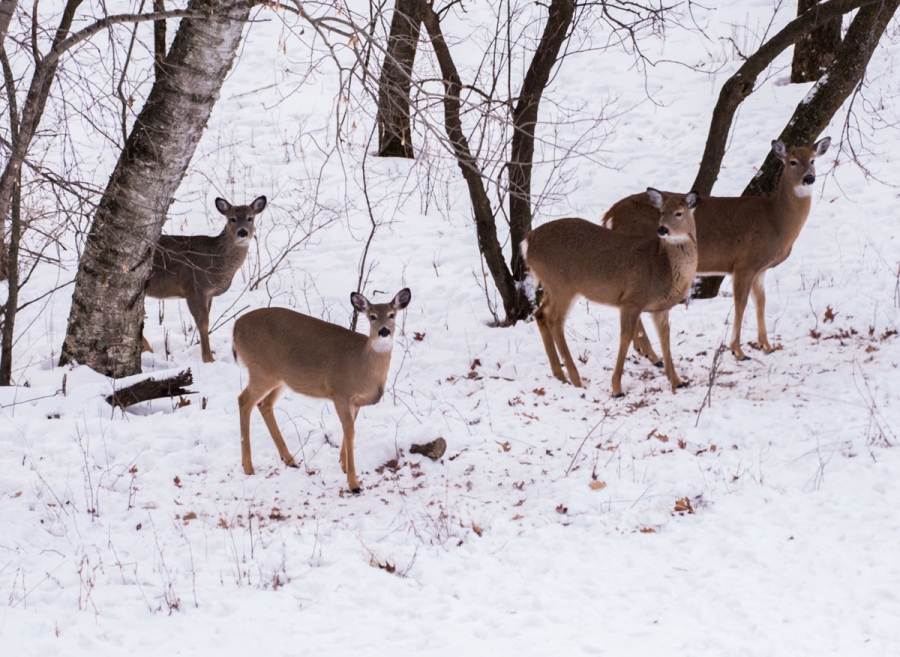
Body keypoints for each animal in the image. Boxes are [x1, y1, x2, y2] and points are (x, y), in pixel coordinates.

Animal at [143, 196, 267, 363]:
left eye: (250, 218)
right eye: (232, 219)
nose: (242, 232)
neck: (216, 260)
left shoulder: (209, 294)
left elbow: (206, 320)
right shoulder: (195, 288)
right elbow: (203, 323)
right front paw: (208, 359)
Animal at [232, 288, 412, 493]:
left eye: (392, 315)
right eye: (372, 316)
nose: (384, 331)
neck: (362, 365)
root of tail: (235, 327)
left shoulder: (355, 401)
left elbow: (350, 428)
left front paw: (343, 464)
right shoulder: (340, 392)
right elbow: (350, 431)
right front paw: (354, 483)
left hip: (281, 378)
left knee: (264, 404)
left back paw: (290, 459)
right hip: (261, 371)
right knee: (244, 400)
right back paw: (249, 467)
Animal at [523, 189, 699, 397]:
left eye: (679, 213)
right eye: (662, 211)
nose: (662, 230)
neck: (665, 266)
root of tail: (528, 241)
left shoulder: (660, 308)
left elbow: (666, 339)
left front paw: (678, 382)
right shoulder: (631, 300)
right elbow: (626, 337)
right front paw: (617, 389)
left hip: (552, 286)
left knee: (540, 313)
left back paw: (561, 375)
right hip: (562, 284)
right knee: (554, 320)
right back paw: (576, 379)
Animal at [603, 137, 831, 362]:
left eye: (813, 160)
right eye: (792, 161)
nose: (809, 178)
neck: (775, 220)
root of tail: (611, 214)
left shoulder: (760, 268)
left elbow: (761, 302)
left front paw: (766, 346)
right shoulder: (744, 262)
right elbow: (741, 303)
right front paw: (738, 351)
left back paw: (642, 350)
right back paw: (652, 354)